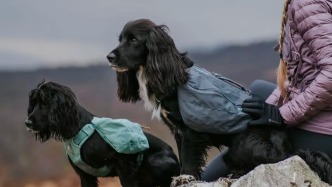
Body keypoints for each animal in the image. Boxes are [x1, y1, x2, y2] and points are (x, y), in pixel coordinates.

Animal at [25, 80, 182, 187]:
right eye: (33, 103)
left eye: (45, 104)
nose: (27, 122)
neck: (77, 128)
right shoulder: (85, 175)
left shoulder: (123, 165)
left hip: (156, 162)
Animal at [107, 19, 332, 184]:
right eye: (120, 39)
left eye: (133, 40)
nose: (109, 56)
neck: (171, 74)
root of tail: (289, 146)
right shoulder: (177, 131)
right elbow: (182, 156)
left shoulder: (190, 131)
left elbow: (188, 160)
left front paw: (185, 178)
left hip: (243, 144)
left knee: (271, 162)